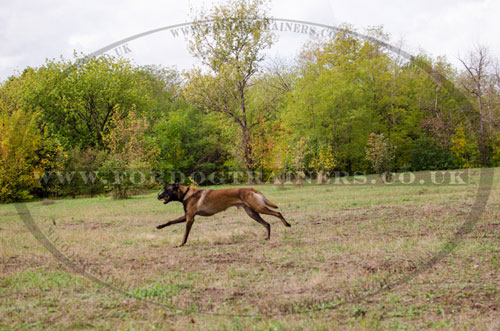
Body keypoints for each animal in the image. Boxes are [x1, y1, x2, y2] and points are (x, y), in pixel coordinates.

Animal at [155, 179, 290, 246]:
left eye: (166, 190)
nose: (158, 196)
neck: (186, 193)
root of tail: (251, 189)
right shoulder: (186, 216)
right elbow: (170, 221)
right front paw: (160, 226)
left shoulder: (190, 219)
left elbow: (185, 234)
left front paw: (181, 243)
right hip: (253, 213)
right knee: (267, 224)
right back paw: (267, 237)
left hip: (258, 208)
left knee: (278, 213)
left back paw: (287, 224)